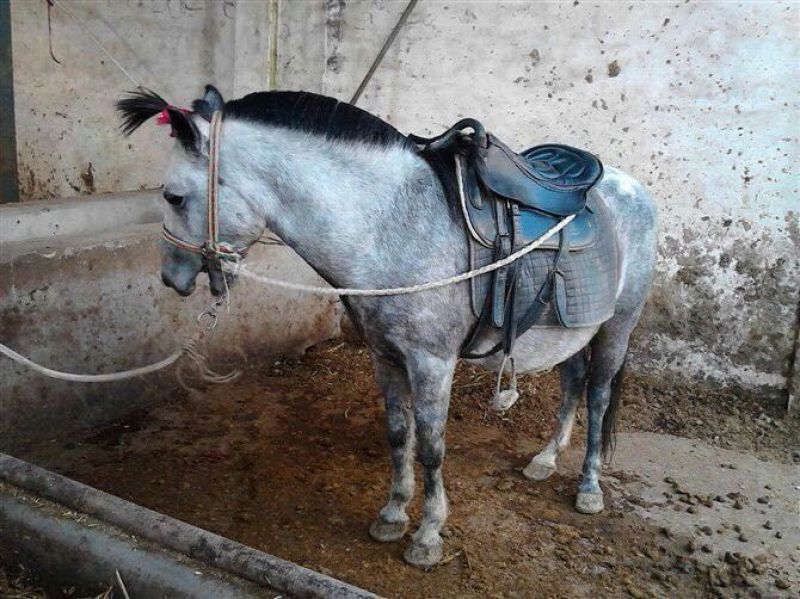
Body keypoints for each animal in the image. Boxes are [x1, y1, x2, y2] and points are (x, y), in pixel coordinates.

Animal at [117, 85, 657, 568]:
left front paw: (428, 536)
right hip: (574, 331)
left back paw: (589, 487)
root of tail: (632, 189)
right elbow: (399, 435)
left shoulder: (433, 363)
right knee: (572, 386)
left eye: (173, 196)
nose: (171, 277)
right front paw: (394, 515)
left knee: (597, 396)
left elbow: (432, 448)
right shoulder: (385, 355)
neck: (393, 225)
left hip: (617, 327)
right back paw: (545, 460)